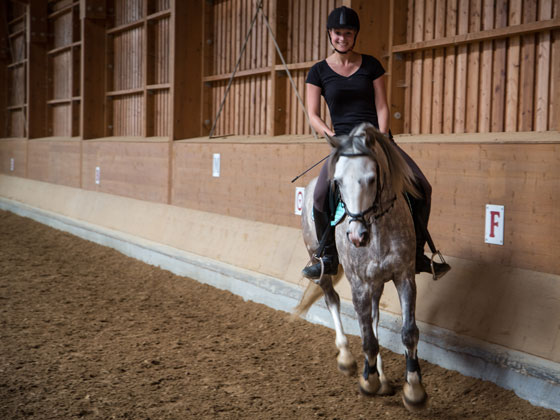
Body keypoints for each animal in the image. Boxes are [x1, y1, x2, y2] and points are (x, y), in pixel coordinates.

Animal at [296, 121, 426, 410]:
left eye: (372, 178)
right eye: (338, 182)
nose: (356, 236)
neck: (376, 228)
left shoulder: (404, 276)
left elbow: (408, 332)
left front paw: (413, 390)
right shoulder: (358, 283)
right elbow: (367, 337)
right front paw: (368, 380)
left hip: (376, 281)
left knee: (375, 316)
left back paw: (383, 377)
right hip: (319, 263)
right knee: (332, 299)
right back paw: (346, 358)